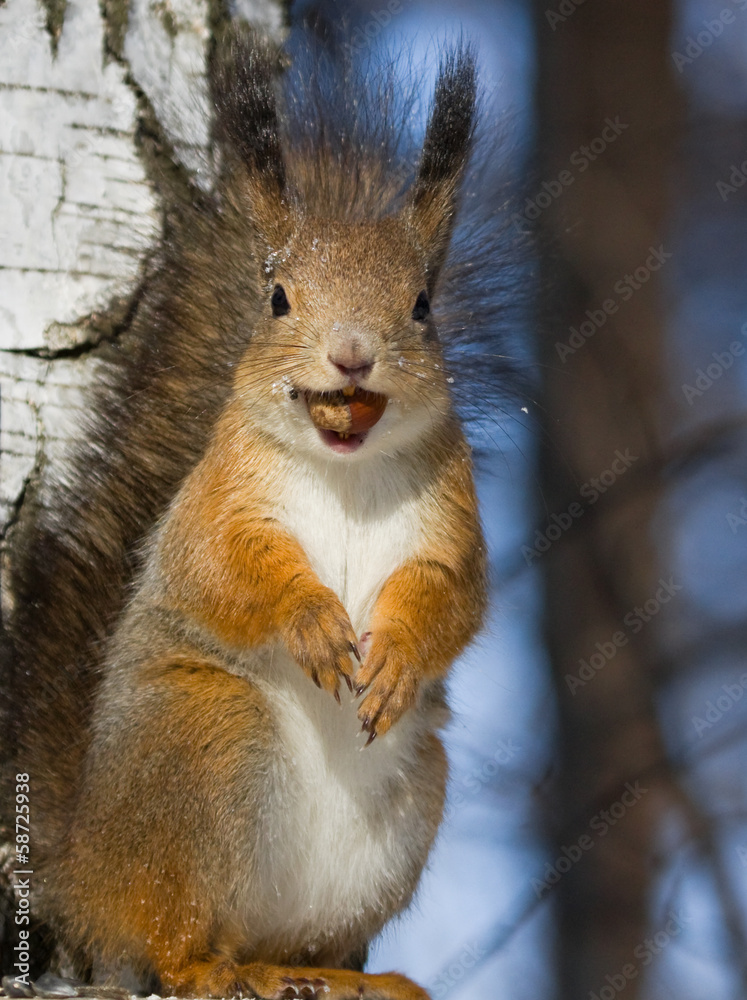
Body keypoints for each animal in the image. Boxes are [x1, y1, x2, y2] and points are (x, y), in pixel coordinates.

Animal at [2, 26, 492, 1000]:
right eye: (277, 297)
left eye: (421, 304)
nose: (351, 355)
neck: (346, 468)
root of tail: (83, 868)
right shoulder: (215, 502)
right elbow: (224, 570)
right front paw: (309, 619)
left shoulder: (452, 526)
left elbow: (452, 598)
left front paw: (398, 657)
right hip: (209, 740)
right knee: (167, 939)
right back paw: (206, 968)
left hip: (406, 805)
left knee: (291, 941)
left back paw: (346, 977)